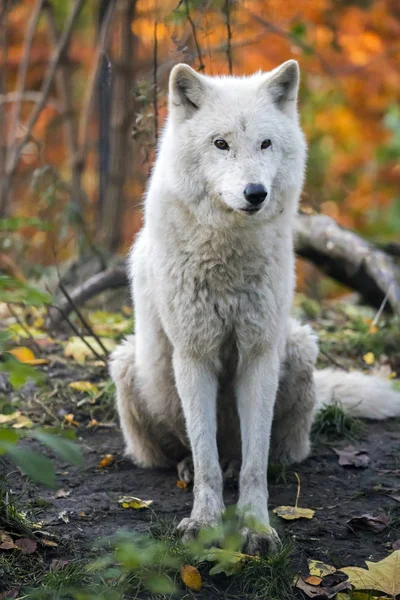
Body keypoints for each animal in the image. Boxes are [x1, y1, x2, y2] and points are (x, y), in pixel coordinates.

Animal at [109, 59, 400, 552]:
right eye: (220, 143)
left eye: (265, 143)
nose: (255, 192)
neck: (227, 258)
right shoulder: (195, 354)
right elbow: (206, 458)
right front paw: (204, 524)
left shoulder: (259, 353)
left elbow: (254, 463)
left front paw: (256, 528)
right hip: (131, 365)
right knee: (191, 453)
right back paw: (186, 466)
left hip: (298, 346)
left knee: (264, 454)